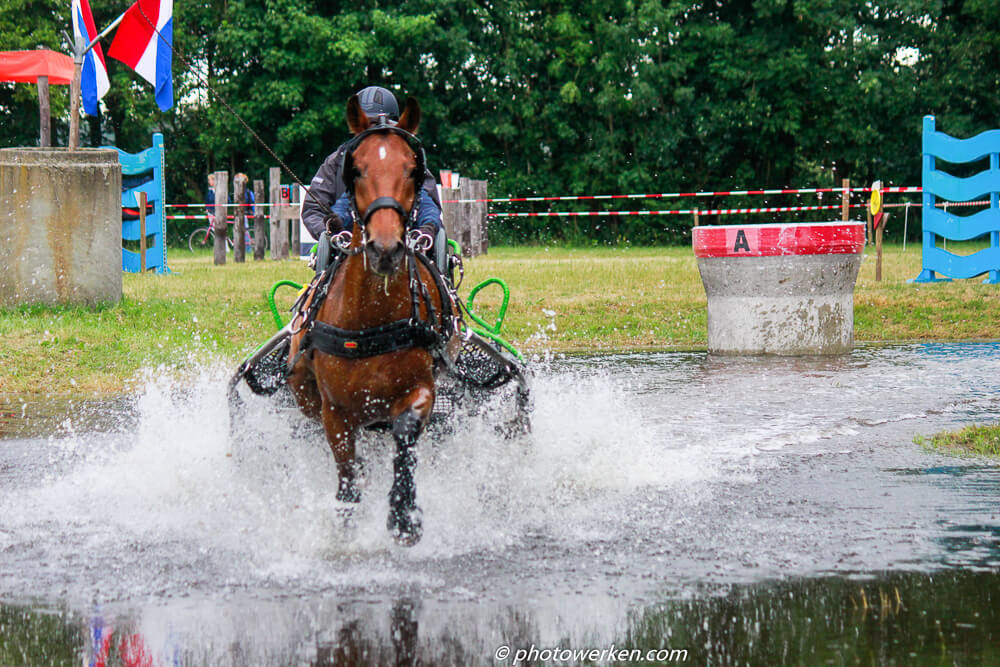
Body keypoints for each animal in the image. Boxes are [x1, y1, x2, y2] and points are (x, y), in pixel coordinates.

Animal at [284, 95, 452, 548]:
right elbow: (347, 481)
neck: (371, 321)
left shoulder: (420, 389)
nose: (386, 248)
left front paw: (404, 514)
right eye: (355, 168)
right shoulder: (335, 413)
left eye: (412, 169)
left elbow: (405, 434)